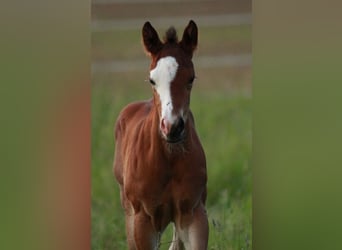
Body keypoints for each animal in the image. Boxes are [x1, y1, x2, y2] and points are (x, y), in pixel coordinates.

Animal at [113, 20, 207, 249]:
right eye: (151, 80)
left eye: (191, 78)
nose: (172, 127)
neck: (168, 159)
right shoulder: (143, 220)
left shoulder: (194, 213)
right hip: (129, 211)